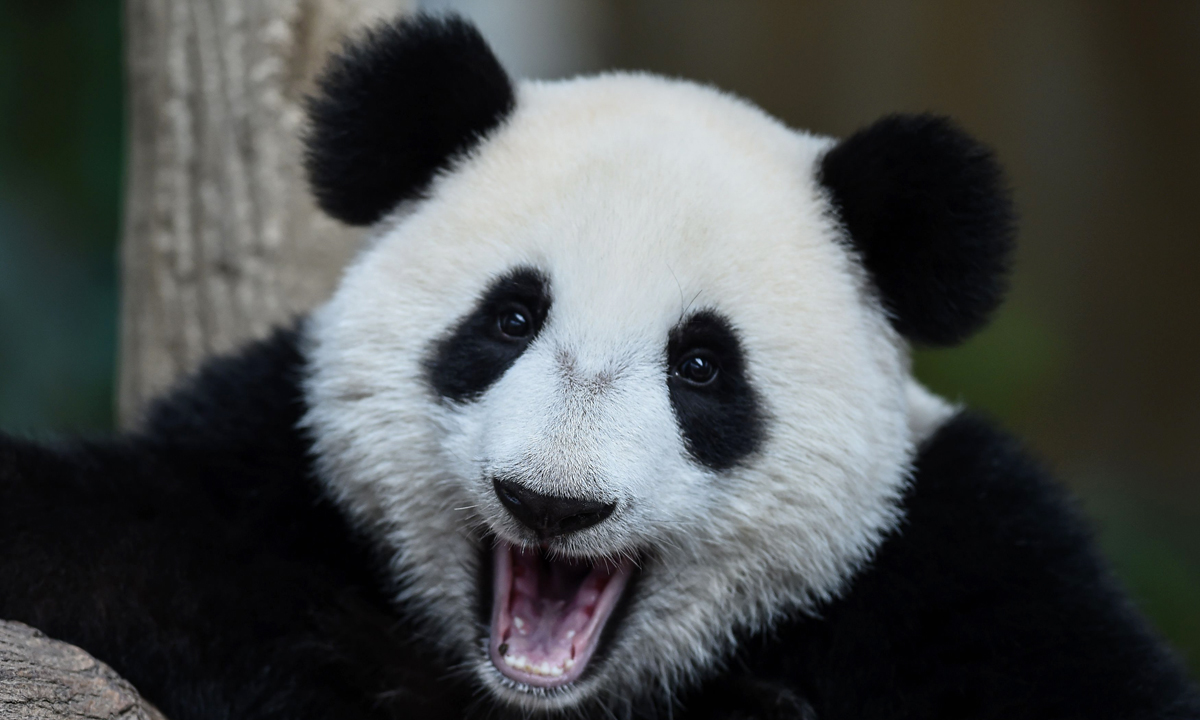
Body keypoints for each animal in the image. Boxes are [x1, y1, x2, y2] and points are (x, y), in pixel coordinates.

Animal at [1, 13, 1197, 720]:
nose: (552, 503)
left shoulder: (969, 573)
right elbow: (116, 545)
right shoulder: (263, 471)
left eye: (703, 365)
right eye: (511, 318)